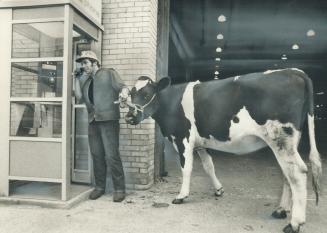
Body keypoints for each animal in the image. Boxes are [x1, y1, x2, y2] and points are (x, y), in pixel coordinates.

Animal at [124, 68, 322, 232]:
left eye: (147, 94)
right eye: (131, 94)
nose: (129, 116)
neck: (170, 102)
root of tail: (294, 71)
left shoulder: (182, 138)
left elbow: (186, 168)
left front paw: (181, 196)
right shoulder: (201, 143)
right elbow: (209, 166)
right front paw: (218, 189)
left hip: (280, 138)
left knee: (297, 173)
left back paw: (295, 223)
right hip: (289, 141)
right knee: (287, 174)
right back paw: (281, 210)